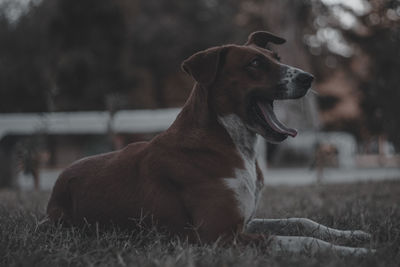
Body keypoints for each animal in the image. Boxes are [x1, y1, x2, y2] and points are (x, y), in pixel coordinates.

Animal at [47, 32, 376, 256]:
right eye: (255, 63)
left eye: (278, 60)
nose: (309, 78)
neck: (231, 142)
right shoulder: (219, 235)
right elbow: (303, 240)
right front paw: (353, 253)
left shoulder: (245, 222)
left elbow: (302, 222)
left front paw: (352, 235)